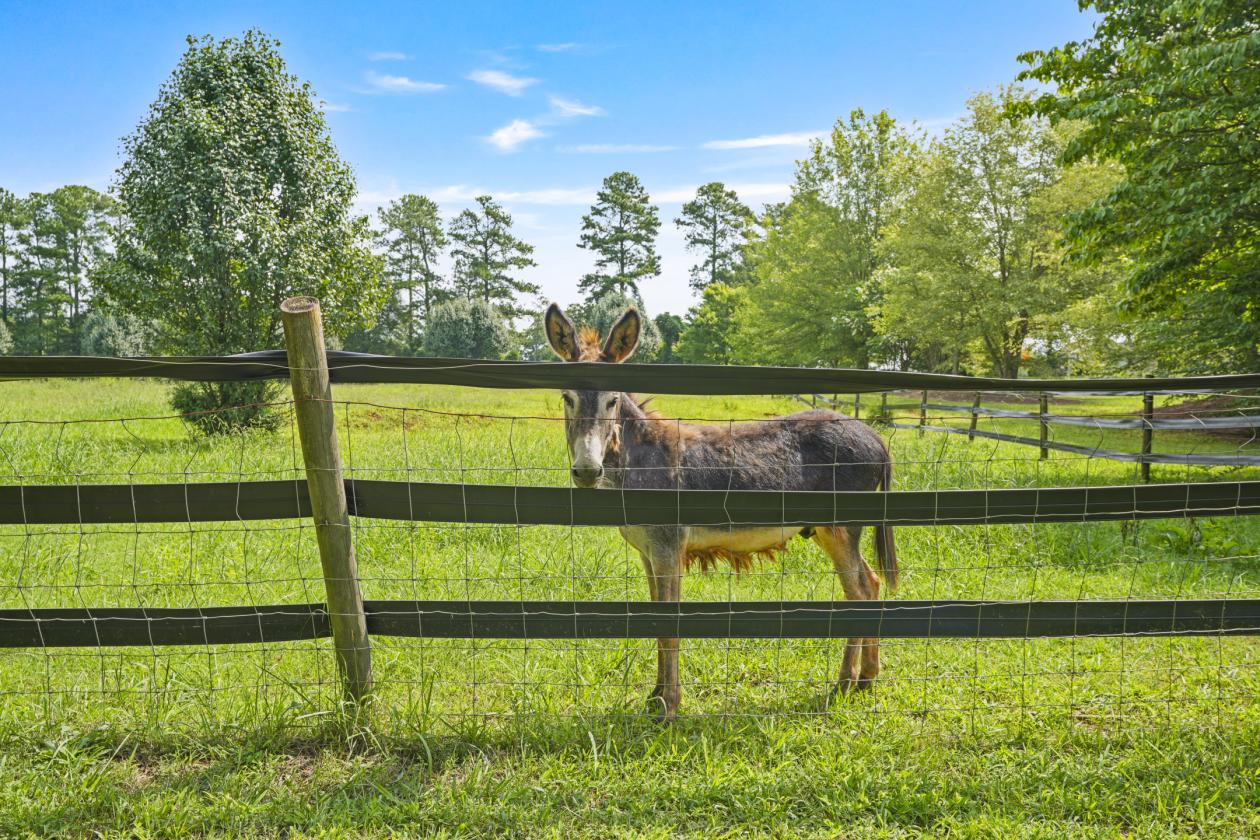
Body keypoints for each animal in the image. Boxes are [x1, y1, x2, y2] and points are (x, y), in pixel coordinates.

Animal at [544, 302, 897, 720]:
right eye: (567, 397)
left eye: (612, 401)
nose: (586, 471)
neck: (639, 458)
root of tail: (875, 436)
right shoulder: (648, 552)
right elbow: (654, 620)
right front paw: (655, 698)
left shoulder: (668, 547)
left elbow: (670, 624)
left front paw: (669, 708)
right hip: (832, 531)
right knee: (870, 584)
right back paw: (867, 678)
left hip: (840, 528)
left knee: (857, 592)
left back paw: (844, 683)